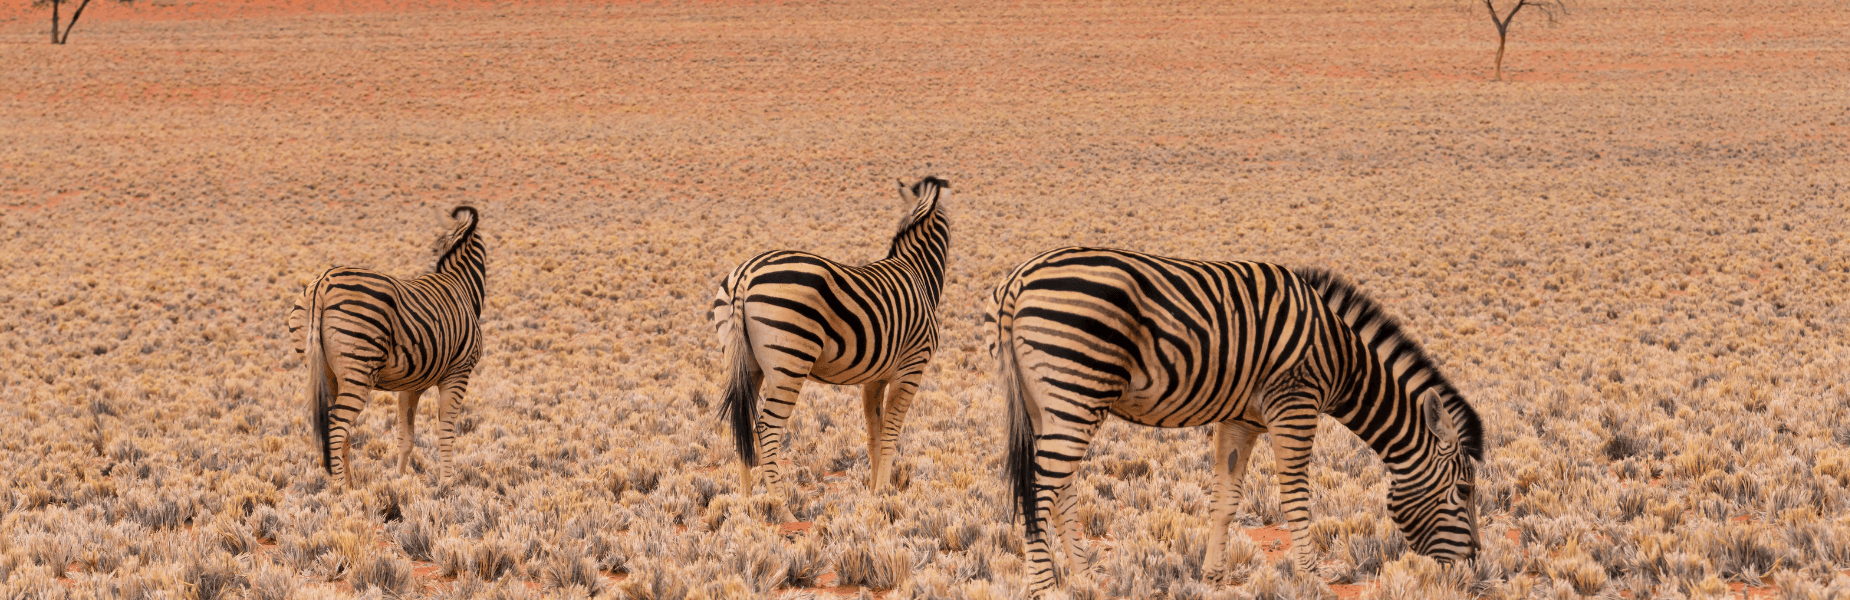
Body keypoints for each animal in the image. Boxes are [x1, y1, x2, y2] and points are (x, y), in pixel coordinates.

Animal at [286, 206, 486, 490]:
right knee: (336, 428)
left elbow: (406, 437)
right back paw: (340, 492)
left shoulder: (410, 385)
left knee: (339, 431)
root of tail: (322, 284)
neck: (461, 284)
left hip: (325, 372)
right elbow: (446, 432)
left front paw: (399, 481)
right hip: (359, 371)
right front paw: (447, 484)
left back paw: (351, 487)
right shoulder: (459, 373)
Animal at [710, 176, 950, 495]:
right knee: (766, 431)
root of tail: (745, 275)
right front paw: (884, 493)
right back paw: (780, 505)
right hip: (789, 365)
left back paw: (747, 503)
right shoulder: (911, 368)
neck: (918, 272)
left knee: (741, 426)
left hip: (745, 364)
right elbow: (890, 432)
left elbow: (873, 434)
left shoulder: (874, 379)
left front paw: (873, 493)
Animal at [986, 247, 1483, 596]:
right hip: (1078, 390)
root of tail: (1018, 280)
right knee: (1040, 491)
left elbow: (1225, 500)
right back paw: (1046, 588)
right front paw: (1312, 579)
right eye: (1463, 491)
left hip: (1048, 403)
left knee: (1061, 488)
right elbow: (1297, 500)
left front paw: (1212, 576)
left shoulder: (1242, 420)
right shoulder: (1295, 404)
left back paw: (1085, 577)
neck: (1343, 358)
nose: (1475, 563)